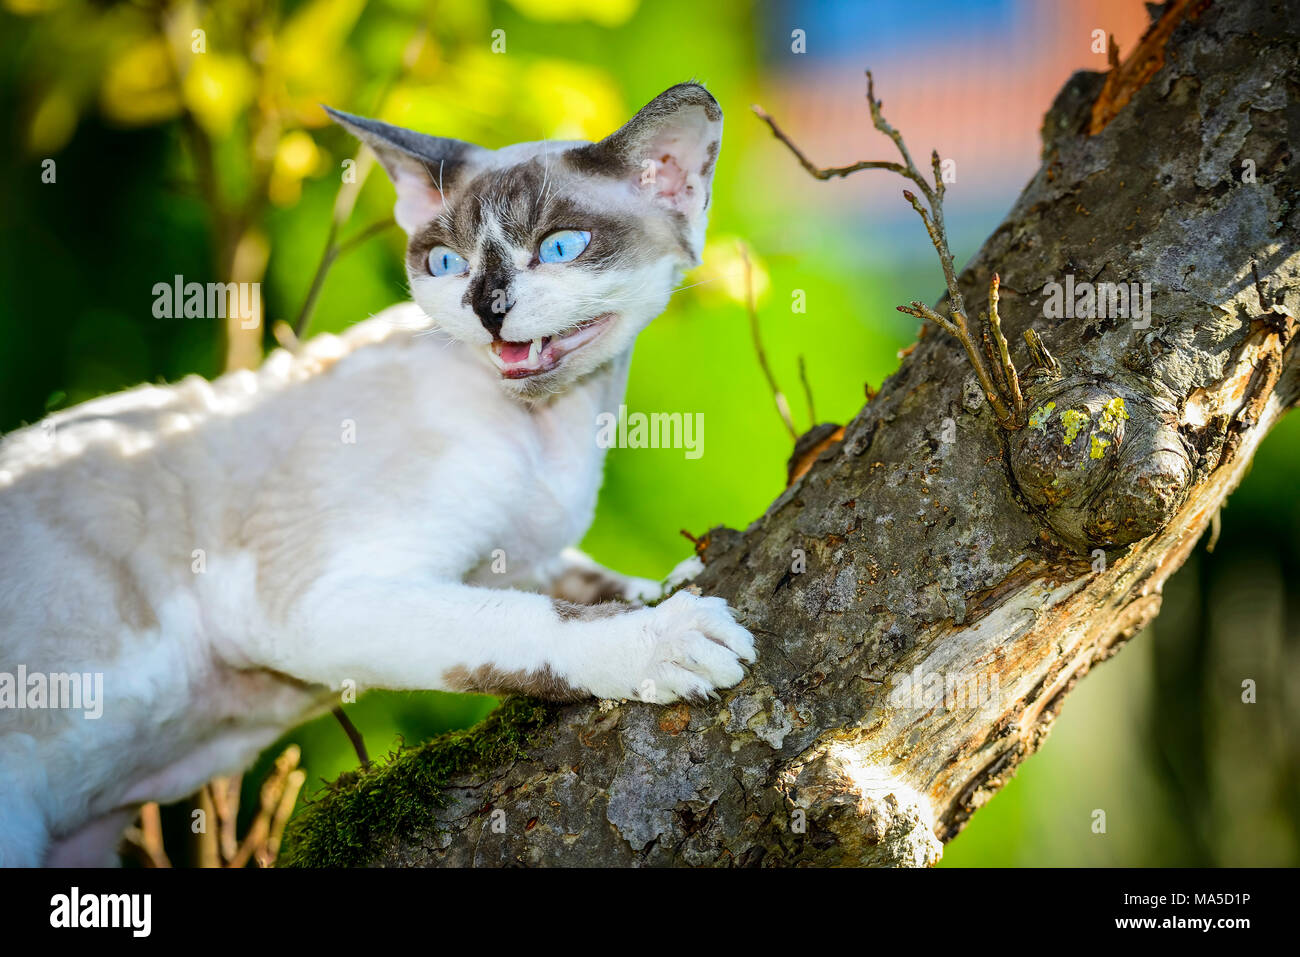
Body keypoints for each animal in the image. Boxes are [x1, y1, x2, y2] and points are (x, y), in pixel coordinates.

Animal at [0, 83, 754, 868]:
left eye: (560, 247)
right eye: (447, 263)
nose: (487, 308)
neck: (558, 429)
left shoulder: (524, 552)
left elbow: (583, 578)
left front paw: (669, 582)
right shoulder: (307, 601)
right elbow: (525, 620)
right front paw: (662, 633)